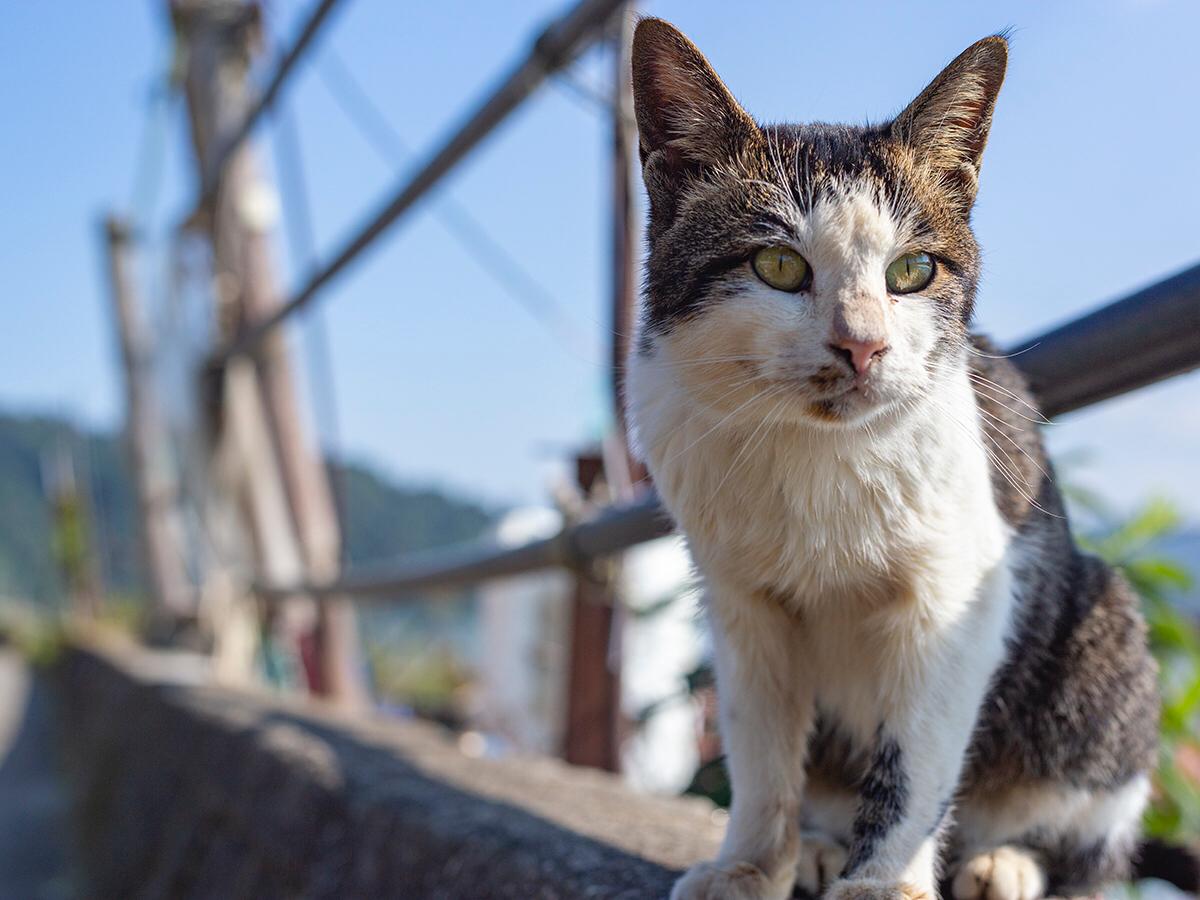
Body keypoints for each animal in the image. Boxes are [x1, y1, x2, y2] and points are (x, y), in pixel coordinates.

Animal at [628, 15, 1161, 900]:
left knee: (1089, 843)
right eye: (778, 265)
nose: (863, 345)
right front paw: (748, 864)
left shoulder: (959, 602)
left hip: (1103, 635)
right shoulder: (741, 607)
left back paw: (1007, 860)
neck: (816, 457)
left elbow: (916, 762)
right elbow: (760, 754)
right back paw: (819, 846)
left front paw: (883, 881)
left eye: (912, 271)